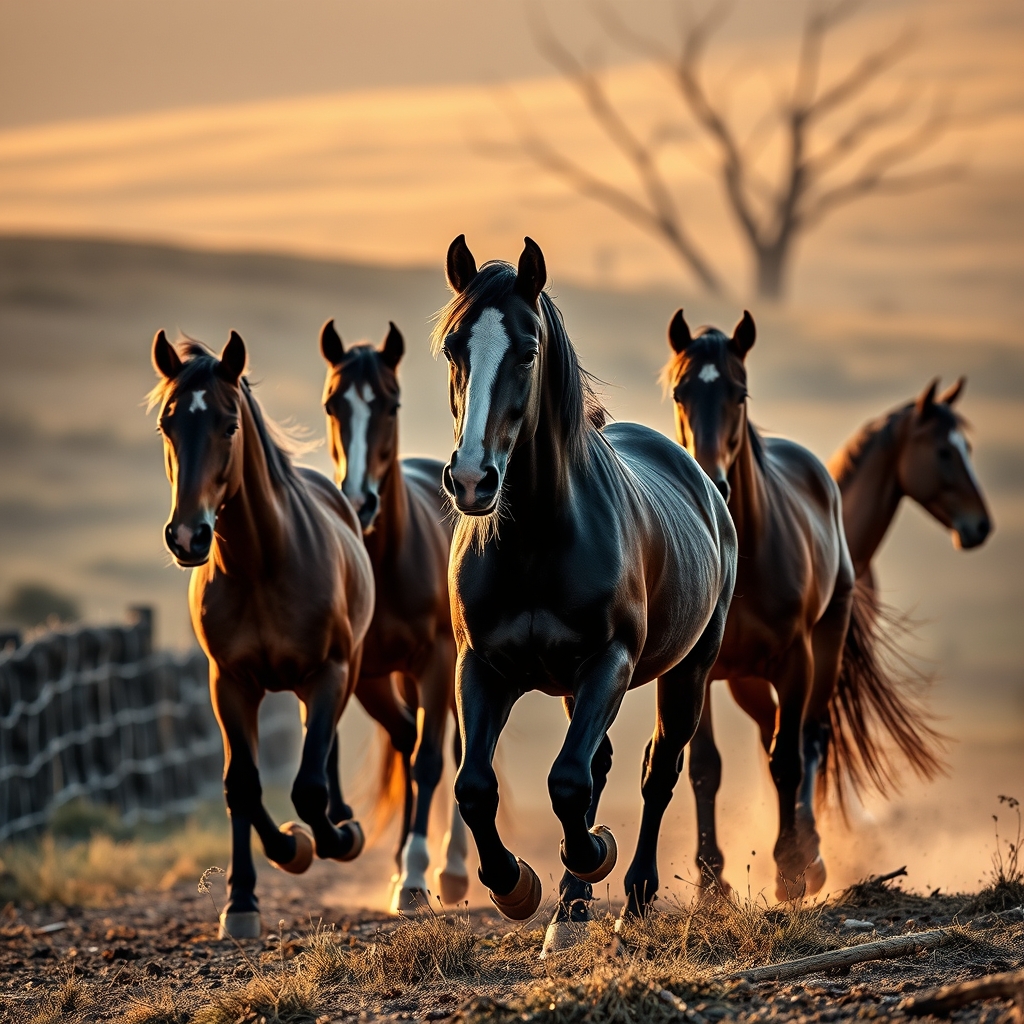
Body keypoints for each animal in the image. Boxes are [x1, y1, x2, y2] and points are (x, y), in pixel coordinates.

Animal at [149, 330, 374, 939]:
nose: (188, 536)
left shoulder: (327, 672)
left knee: (325, 751)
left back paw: (342, 825)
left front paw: (334, 837)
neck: (261, 566)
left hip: (341, 673)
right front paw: (251, 891)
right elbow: (242, 786)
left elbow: (308, 785)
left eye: (229, 424)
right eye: (167, 425)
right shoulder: (229, 683)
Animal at [319, 318, 469, 912]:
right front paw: (404, 869)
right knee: (409, 741)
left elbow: (430, 760)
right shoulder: (366, 676)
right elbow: (410, 749)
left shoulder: (437, 663)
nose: (359, 501)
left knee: (453, 748)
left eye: (391, 403)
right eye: (333, 404)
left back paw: (451, 869)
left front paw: (416, 877)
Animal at [437, 235, 736, 953]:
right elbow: (476, 785)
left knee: (657, 771)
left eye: (527, 350)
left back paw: (632, 896)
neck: (538, 541)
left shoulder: (610, 662)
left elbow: (569, 782)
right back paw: (570, 908)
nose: (472, 480)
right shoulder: (482, 666)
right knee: (597, 762)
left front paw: (594, 852)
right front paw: (517, 886)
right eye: (453, 348)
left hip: (688, 671)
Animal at [662, 310, 943, 902]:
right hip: (748, 680)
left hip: (825, 649)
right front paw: (711, 881)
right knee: (772, 734)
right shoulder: (700, 669)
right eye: (680, 392)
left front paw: (791, 869)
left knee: (809, 739)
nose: (711, 482)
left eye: (740, 393)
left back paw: (809, 850)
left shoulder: (796, 661)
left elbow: (790, 759)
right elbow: (705, 768)